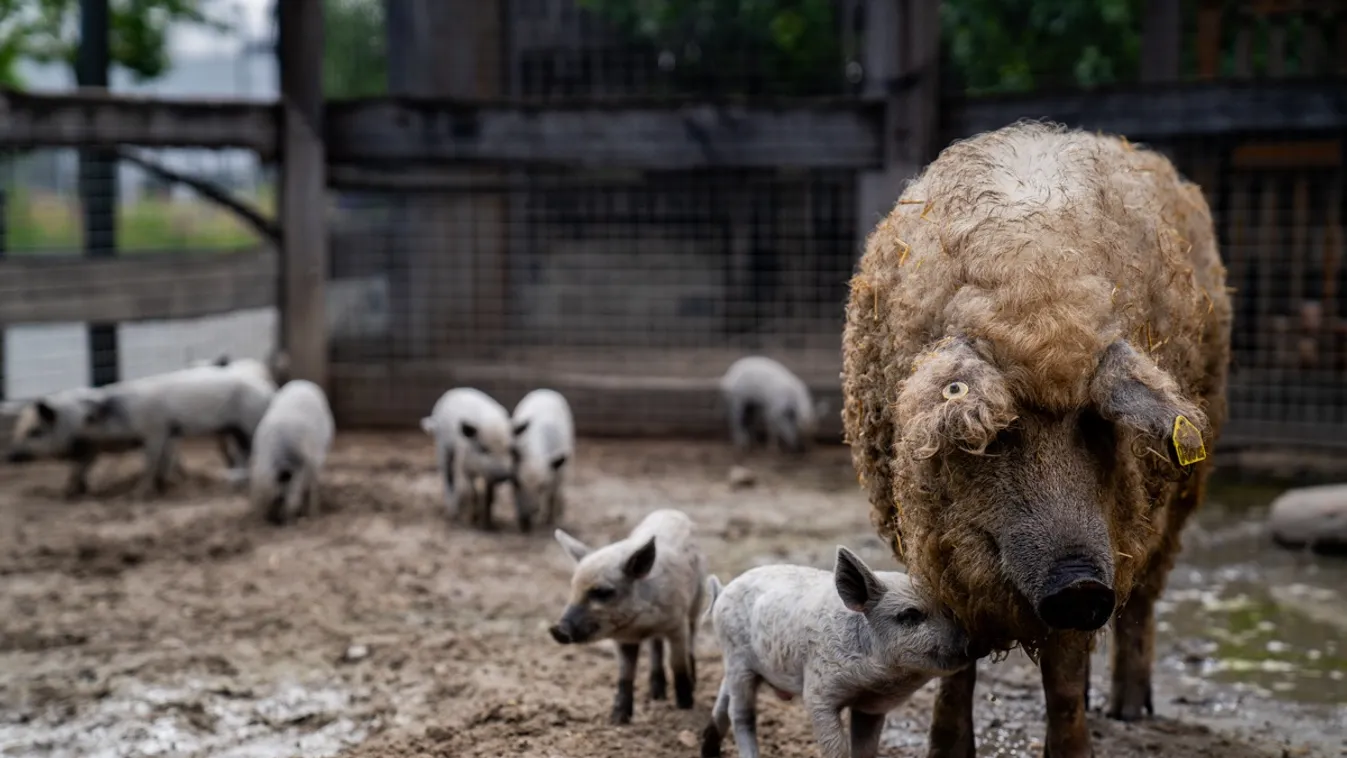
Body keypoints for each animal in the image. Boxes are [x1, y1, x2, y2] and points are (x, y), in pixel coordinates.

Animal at [552, 506, 711, 727]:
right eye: (573, 588)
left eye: (602, 592)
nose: (558, 629)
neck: (640, 625)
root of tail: (670, 510)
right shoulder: (623, 640)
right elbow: (625, 676)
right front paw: (617, 721)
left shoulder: (676, 625)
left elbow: (677, 664)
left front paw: (685, 708)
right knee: (656, 646)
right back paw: (656, 696)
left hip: (697, 601)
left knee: (691, 641)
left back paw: (689, 685)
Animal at [840, 121, 1233, 753]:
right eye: (1000, 432)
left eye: (1095, 422)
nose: (1080, 585)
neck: (1033, 298)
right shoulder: (929, 536)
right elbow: (956, 651)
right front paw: (947, 751)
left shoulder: (1111, 535)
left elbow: (1064, 670)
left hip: (1183, 490)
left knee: (1142, 602)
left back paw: (1129, 712)